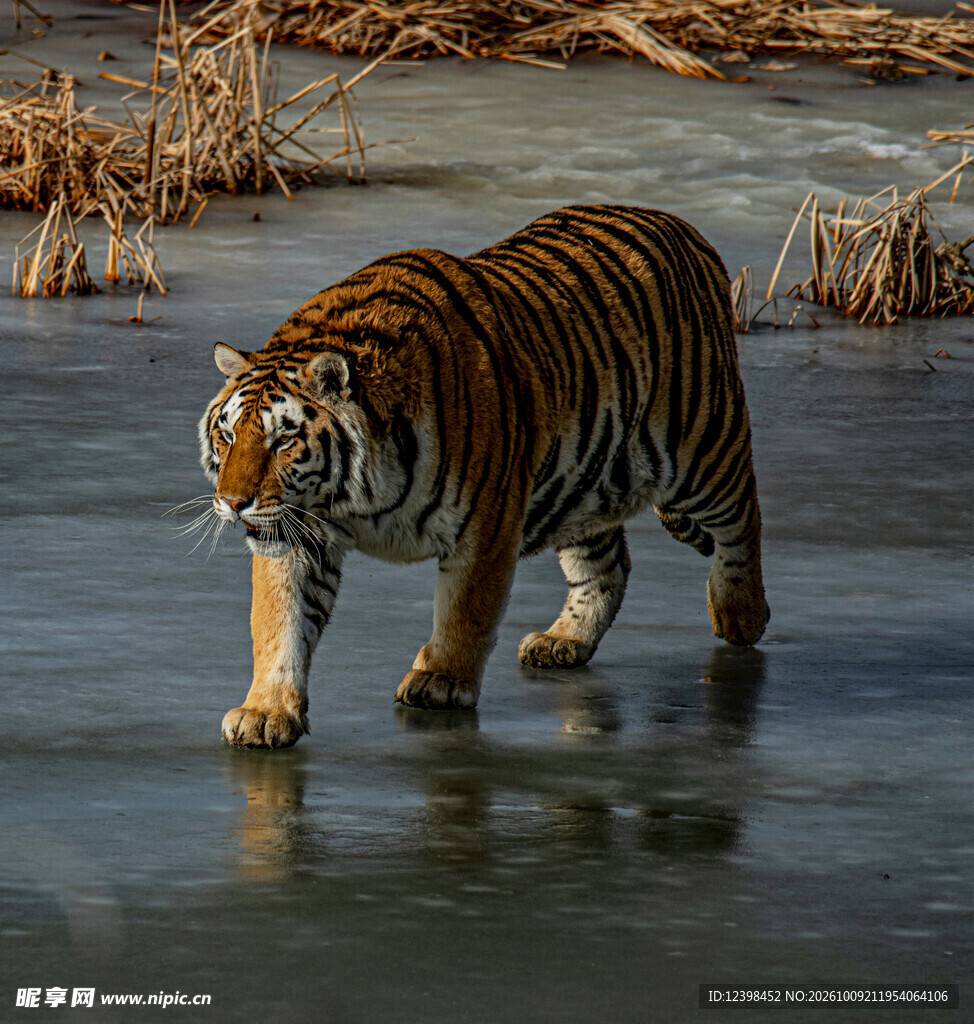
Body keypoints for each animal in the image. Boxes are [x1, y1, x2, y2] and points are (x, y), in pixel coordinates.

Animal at [199, 204, 770, 749]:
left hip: (701, 451)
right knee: (607, 565)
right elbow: (280, 623)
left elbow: (465, 610)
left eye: (282, 441)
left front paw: (441, 681)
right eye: (227, 437)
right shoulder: (297, 535)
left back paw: (742, 614)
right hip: (587, 487)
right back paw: (564, 641)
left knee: (743, 519)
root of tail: (683, 226)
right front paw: (265, 714)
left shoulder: (487, 522)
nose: (232, 502)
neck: (354, 497)